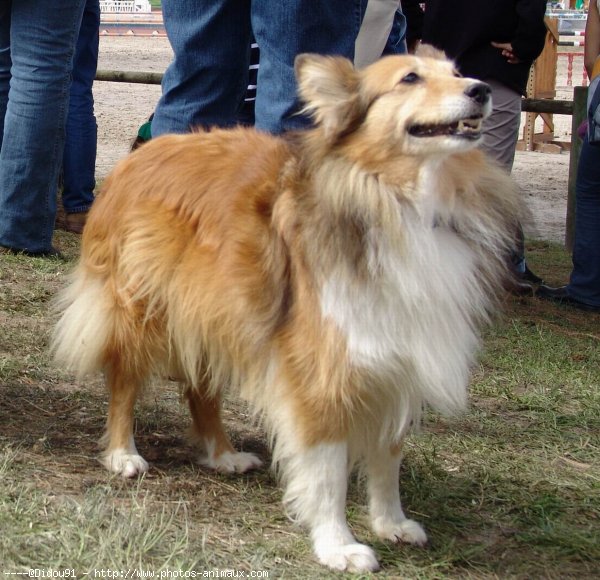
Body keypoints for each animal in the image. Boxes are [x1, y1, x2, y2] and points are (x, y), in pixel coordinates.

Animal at [52, 48, 520, 572]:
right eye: (410, 78)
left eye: (457, 73)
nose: (481, 89)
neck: (389, 198)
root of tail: (138, 155)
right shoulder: (323, 371)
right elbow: (328, 472)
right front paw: (338, 544)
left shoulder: (397, 357)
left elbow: (389, 456)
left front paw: (391, 523)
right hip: (144, 311)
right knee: (124, 382)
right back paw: (122, 453)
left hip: (219, 312)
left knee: (200, 388)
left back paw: (222, 454)